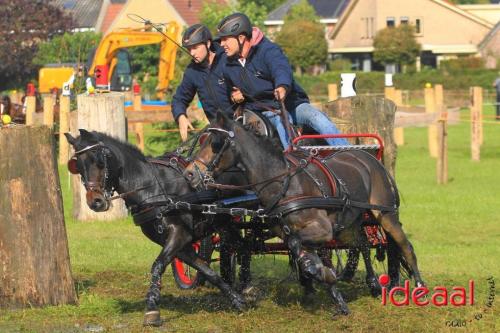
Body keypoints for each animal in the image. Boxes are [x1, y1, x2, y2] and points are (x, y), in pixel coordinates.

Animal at [64, 129, 248, 324]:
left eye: (99, 161)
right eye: (77, 166)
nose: (95, 202)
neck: (151, 188)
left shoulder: (179, 234)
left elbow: (157, 265)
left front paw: (152, 307)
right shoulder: (179, 243)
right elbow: (206, 270)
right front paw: (236, 299)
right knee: (239, 245)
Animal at [184, 110, 426, 316]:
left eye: (215, 143)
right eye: (202, 140)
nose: (189, 174)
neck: (284, 183)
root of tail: (370, 159)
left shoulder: (322, 229)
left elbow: (296, 246)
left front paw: (317, 275)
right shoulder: (290, 231)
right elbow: (298, 249)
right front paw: (326, 286)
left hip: (385, 215)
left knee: (404, 246)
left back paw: (418, 286)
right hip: (350, 223)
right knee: (363, 244)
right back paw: (374, 284)